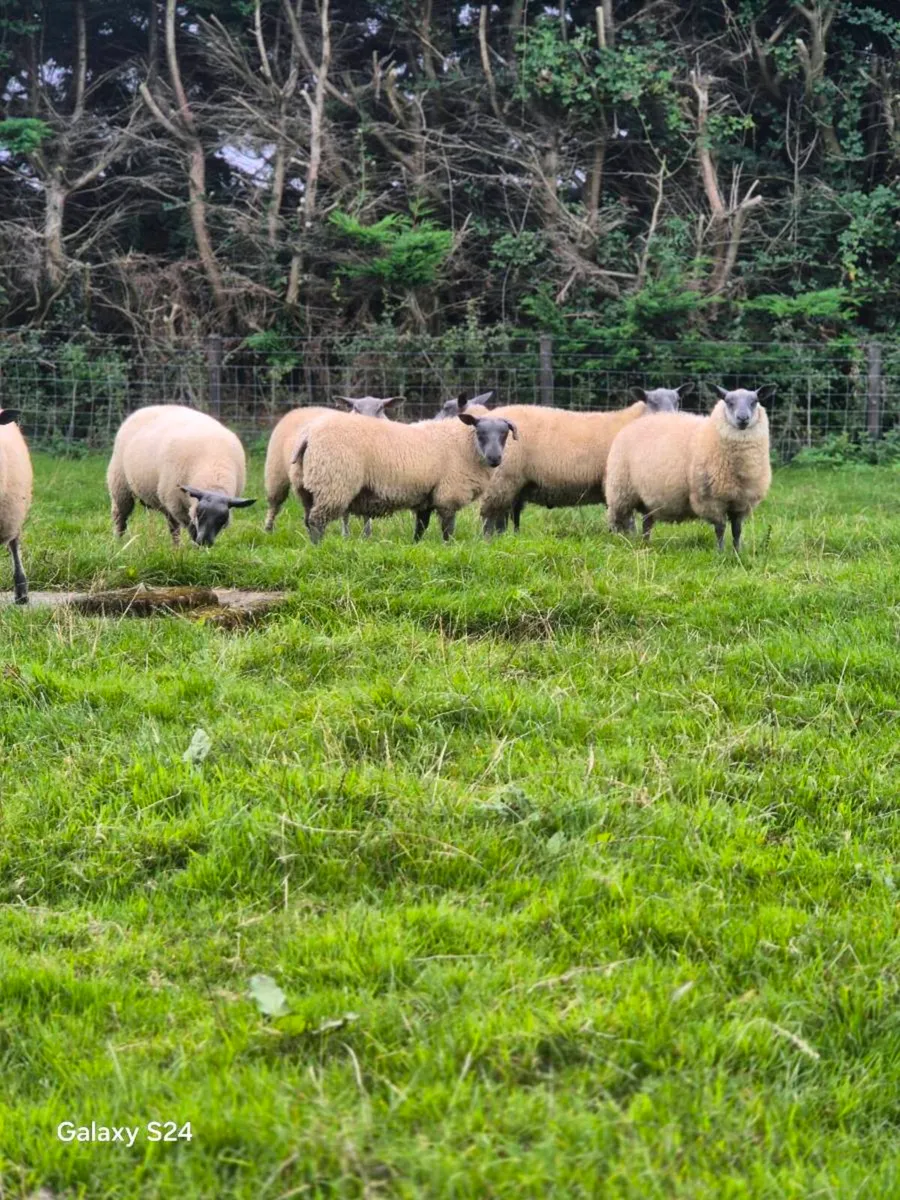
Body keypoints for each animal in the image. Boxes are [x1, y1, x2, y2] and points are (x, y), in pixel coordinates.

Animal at [107, 405, 255, 547]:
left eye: (222, 519)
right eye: (199, 514)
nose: (204, 542)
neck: (214, 475)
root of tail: (144, 409)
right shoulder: (177, 505)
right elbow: (190, 529)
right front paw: (195, 548)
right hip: (121, 486)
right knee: (121, 517)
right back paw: (119, 542)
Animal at [264, 395, 403, 536]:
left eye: (380, 408)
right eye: (355, 408)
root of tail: (301, 408)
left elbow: (366, 513)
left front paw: (367, 534)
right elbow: (345, 514)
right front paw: (346, 535)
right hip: (276, 471)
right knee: (274, 504)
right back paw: (268, 529)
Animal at [290, 411, 519, 544]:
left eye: (504, 433)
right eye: (480, 432)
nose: (495, 458)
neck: (465, 445)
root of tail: (308, 435)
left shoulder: (427, 495)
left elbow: (421, 525)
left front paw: (415, 544)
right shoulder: (448, 494)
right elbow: (448, 527)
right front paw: (449, 547)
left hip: (307, 487)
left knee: (307, 519)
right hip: (333, 483)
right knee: (317, 520)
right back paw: (318, 547)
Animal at [479, 385, 689, 535]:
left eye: (678, 401)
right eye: (650, 401)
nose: (670, 421)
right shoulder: (616, 483)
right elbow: (626, 520)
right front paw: (627, 540)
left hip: (513, 484)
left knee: (501, 516)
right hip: (501, 478)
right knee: (490, 516)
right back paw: (490, 540)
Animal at [605, 385, 775, 551]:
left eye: (754, 401)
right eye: (728, 402)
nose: (743, 418)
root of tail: (635, 423)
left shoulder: (741, 501)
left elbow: (737, 530)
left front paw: (737, 553)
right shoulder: (711, 500)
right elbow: (720, 529)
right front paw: (720, 553)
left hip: (647, 497)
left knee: (647, 522)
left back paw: (645, 544)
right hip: (620, 491)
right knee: (616, 519)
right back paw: (616, 541)